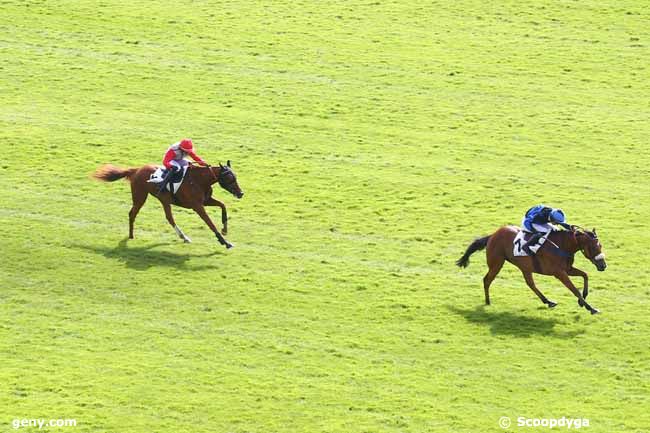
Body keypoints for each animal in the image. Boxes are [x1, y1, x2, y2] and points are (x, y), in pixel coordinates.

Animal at [92, 160, 242, 248]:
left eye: (235, 177)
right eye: (230, 178)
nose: (241, 193)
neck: (199, 180)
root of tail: (136, 170)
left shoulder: (206, 201)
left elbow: (223, 205)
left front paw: (225, 229)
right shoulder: (197, 206)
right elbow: (210, 222)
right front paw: (225, 242)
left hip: (162, 200)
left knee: (166, 217)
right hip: (141, 197)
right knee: (136, 214)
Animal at [456, 226, 604, 314]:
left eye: (600, 245)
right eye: (593, 247)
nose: (603, 265)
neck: (561, 246)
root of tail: (493, 235)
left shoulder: (567, 269)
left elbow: (585, 275)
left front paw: (583, 299)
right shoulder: (559, 273)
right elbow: (574, 290)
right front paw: (590, 308)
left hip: (525, 267)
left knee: (530, 284)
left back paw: (548, 301)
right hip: (497, 263)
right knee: (487, 280)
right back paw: (487, 301)